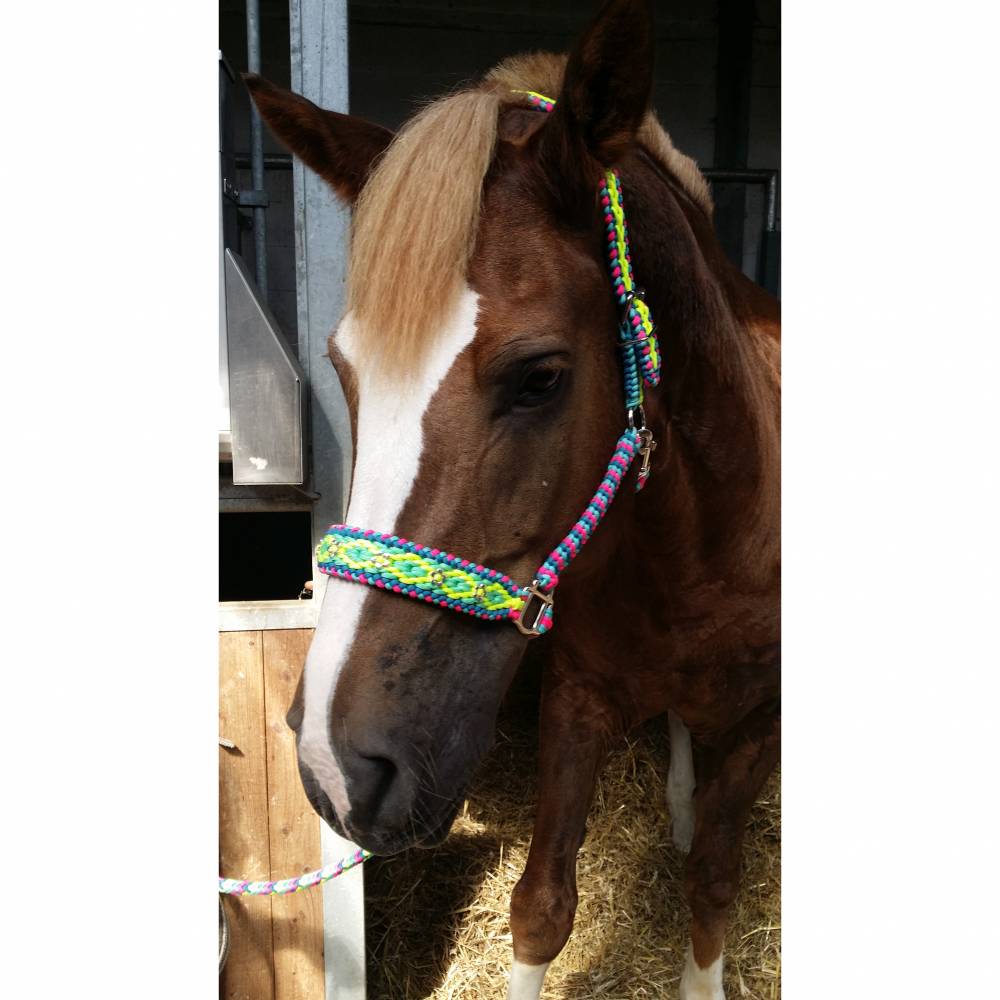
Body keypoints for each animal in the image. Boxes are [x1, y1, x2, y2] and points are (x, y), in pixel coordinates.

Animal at [246, 1, 780, 996]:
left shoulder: (759, 723)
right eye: (342, 368)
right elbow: (540, 909)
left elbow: (714, 886)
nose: (338, 769)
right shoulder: (576, 695)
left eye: (540, 377)